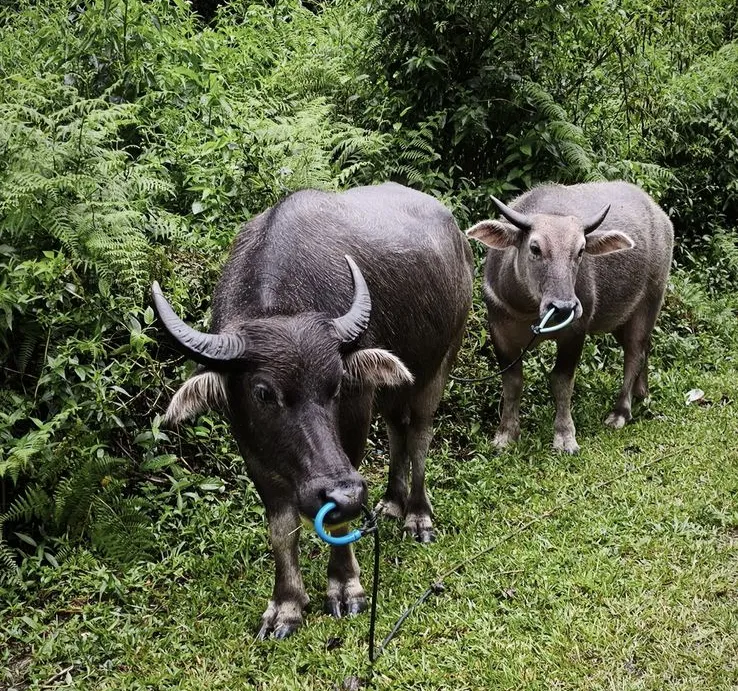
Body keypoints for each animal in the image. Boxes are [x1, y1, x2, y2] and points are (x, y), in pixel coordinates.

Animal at [153, 183, 473, 638]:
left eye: (336, 383)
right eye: (263, 393)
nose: (345, 493)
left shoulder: (354, 415)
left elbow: (340, 518)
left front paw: (345, 587)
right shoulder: (251, 443)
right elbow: (280, 528)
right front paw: (286, 606)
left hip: (441, 359)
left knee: (419, 435)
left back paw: (416, 516)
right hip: (394, 381)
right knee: (397, 428)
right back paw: (391, 503)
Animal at [467, 181, 673, 454]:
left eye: (580, 250)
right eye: (535, 248)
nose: (563, 307)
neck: (529, 310)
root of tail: (661, 218)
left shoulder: (575, 332)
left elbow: (562, 382)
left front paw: (565, 436)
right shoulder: (499, 330)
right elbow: (512, 383)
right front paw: (506, 435)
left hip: (650, 301)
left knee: (634, 352)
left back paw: (621, 411)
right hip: (620, 317)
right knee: (644, 348)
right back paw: (642, 392)